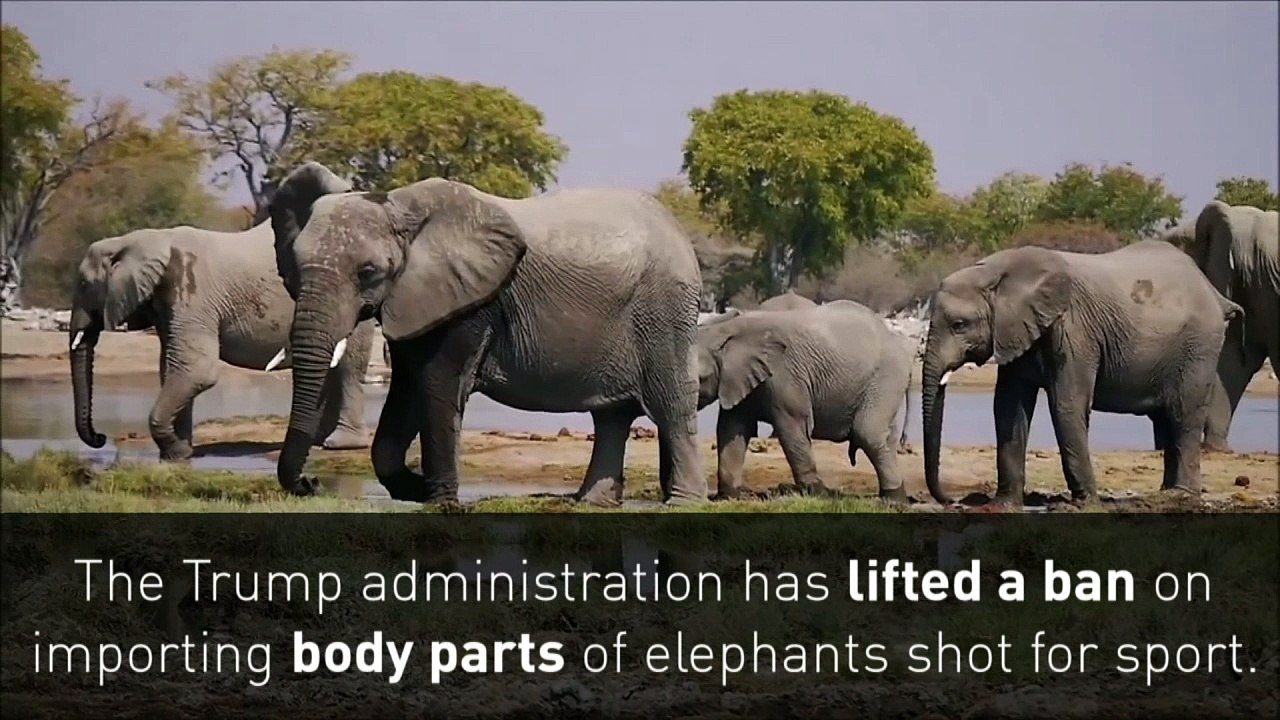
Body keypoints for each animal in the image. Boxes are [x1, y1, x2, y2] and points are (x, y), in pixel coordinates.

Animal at [68, 214, 376, 461]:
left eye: (83, 284)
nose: (100, 438)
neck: (148, 239)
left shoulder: (193, 295)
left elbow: (196, 371)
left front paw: (175, 452)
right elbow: (172, 369)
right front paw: (180, 454)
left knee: (347, 368)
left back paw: (340, 444)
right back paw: (318, 440)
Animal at [267, 162, 706, 506]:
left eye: (368, 272)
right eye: (296, 267)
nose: (311, 482)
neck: (400, 207)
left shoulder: (469, 305)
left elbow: (438, 384)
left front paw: (440, 502)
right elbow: (408, 389)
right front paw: (417, 489)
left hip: (663, 311)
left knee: (670, 404)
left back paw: (682, 503)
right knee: (611, 414)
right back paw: (591, 503)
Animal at [696, 300, 912, 502]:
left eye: (701, 379)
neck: (727, 328)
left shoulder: (784, 375)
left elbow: (793, 429)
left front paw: (819, 493)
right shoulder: (738, 379)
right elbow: (731, 429)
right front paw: (726, 497)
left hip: (886, 377)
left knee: (868, 433)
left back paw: (893, 500)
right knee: (885, 437)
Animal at [920, 241, 1242, 506]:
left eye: (959, 325)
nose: (953, 501)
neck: (997, 272)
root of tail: (1213, 293)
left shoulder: (1075, 332)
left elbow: (1067, 405)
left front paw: (1083, 504)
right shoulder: (1015, 331)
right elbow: (1008, 407)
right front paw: (1003, 505)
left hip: (1199, 346)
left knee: (1183, 415)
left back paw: (1181, 496)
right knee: (1166, 419)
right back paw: (1163, 495)